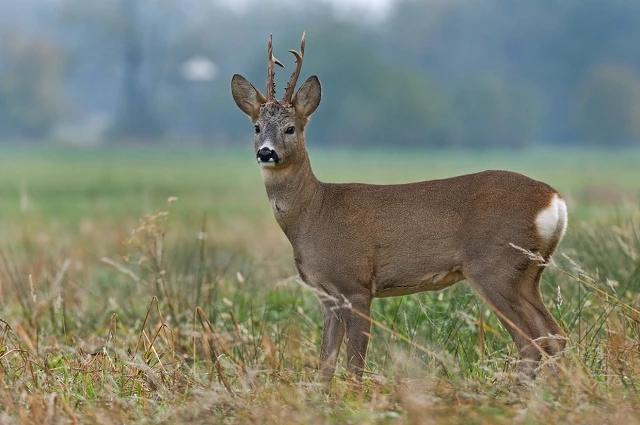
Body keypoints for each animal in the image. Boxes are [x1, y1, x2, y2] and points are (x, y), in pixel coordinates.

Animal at [229, 32, 564, 384]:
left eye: (291, 128)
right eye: (256, 127)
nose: (266, 153)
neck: (314, 213)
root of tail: (554, 200)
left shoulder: (355, 283)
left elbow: (355, 365)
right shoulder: (327, 295)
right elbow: (325, 366)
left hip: (495, 267)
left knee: (532, 342)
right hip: (528, 274)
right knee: (555, 335)